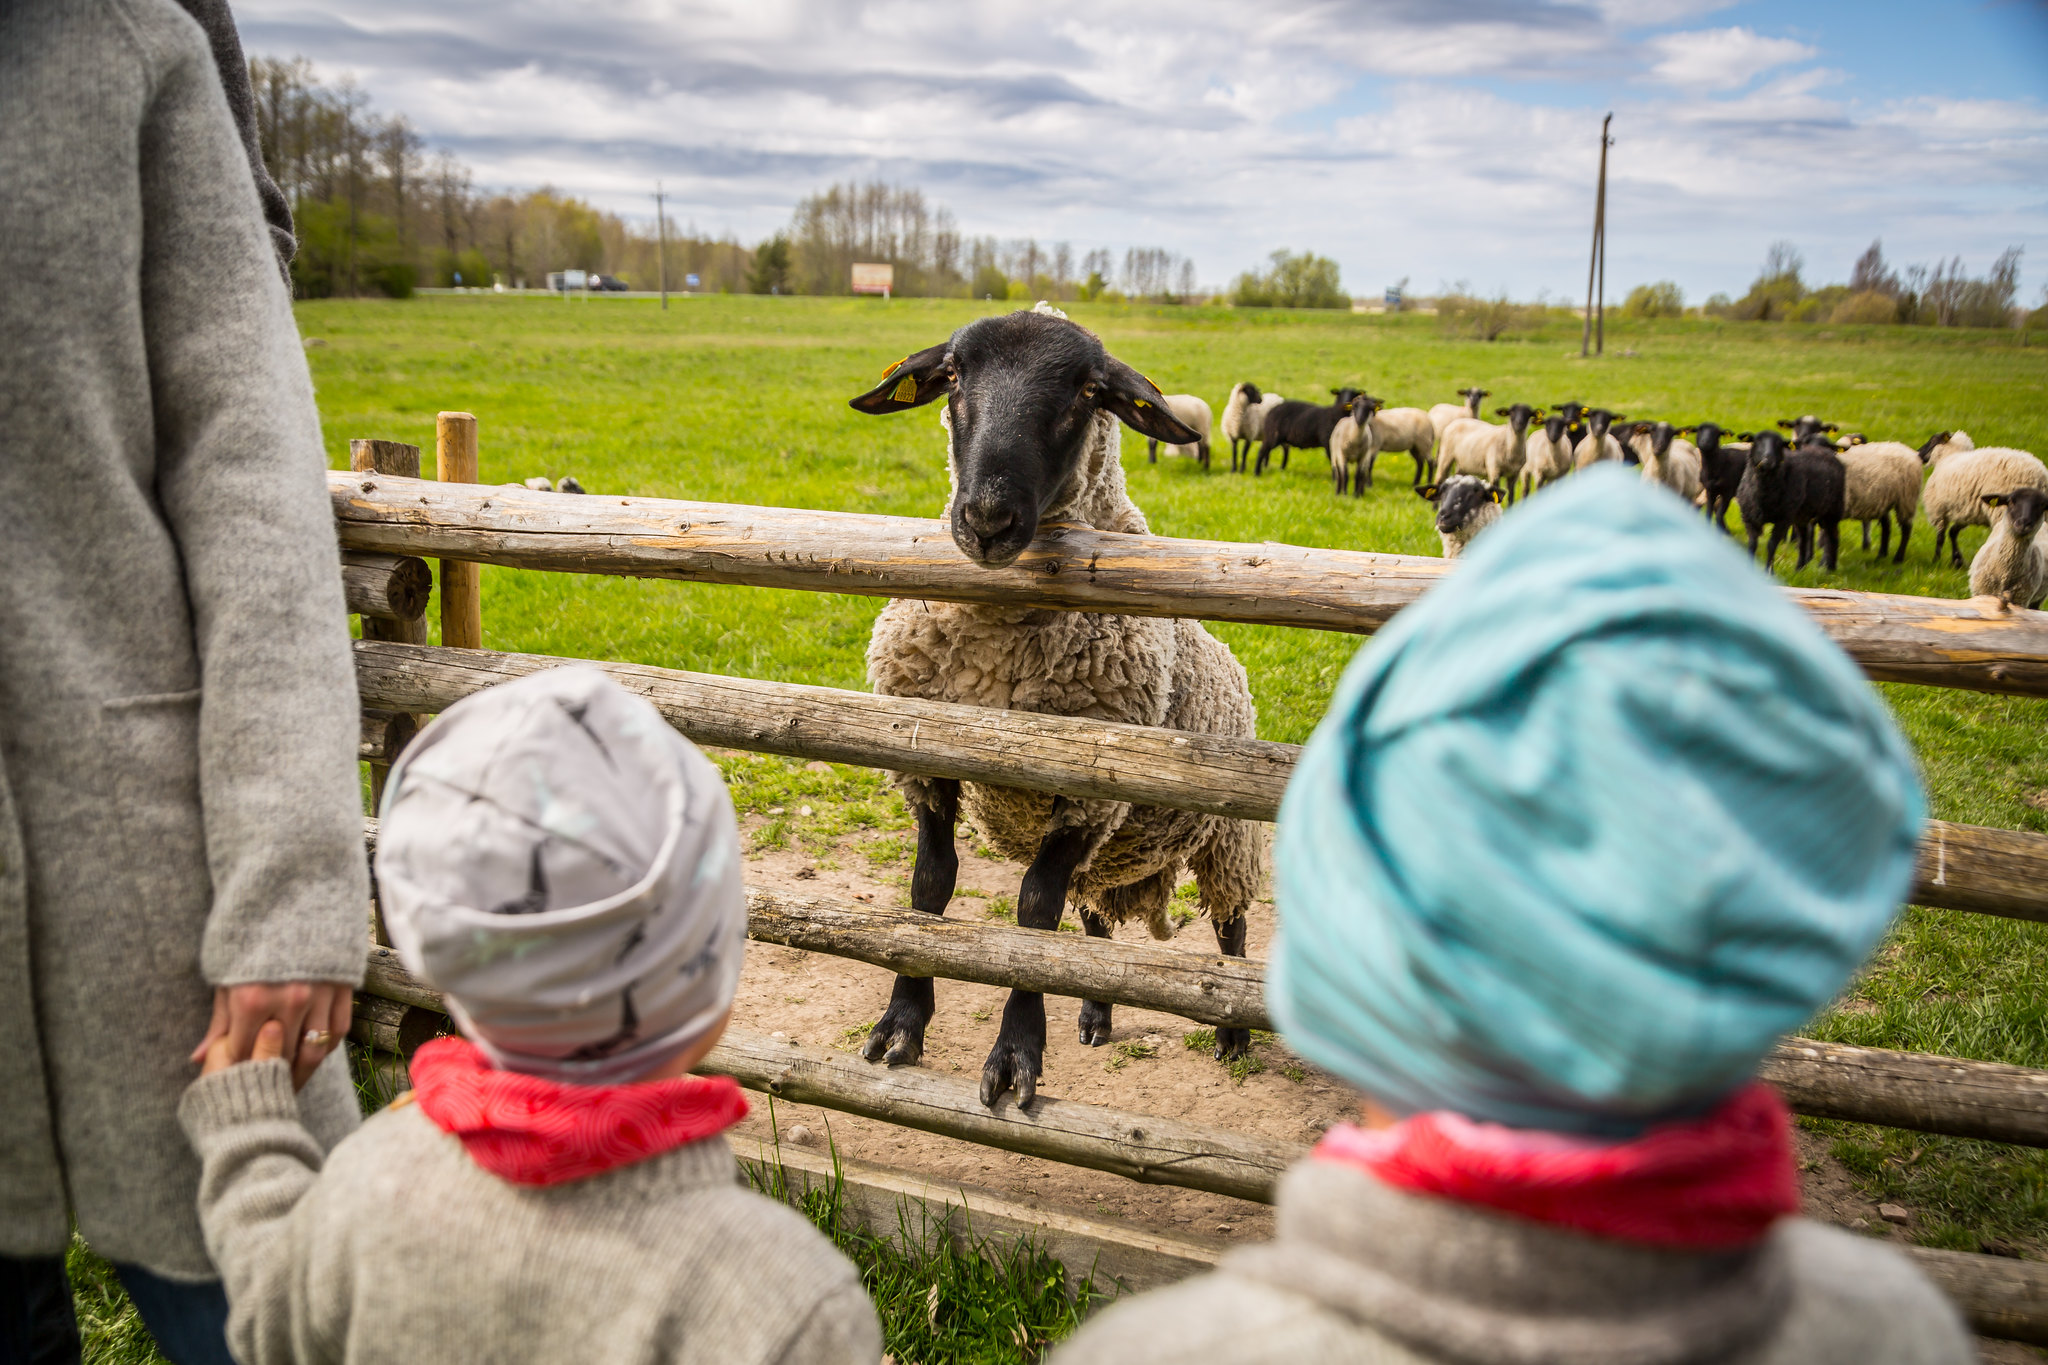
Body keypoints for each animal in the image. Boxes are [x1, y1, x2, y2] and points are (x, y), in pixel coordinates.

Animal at [835, 304, 1253, 1105]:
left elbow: (1032, 915)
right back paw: (1095, 1013)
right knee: (1093, 932)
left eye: (1089, 391)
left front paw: (1015, 1057)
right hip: (1114, 852)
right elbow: (929, 889)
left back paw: (1234, 1034)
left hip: (1226, 836)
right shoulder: (925, 761)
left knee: (1231, 928)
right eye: (953, 375)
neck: (995, 657)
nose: (987, 518)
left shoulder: (1084, 792)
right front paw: (901, 1024)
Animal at [1736, 431, 1851, 573]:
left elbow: (1771, 544)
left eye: (1779, 444)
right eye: (1757, 441)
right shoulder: (1749, 518)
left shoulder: (1783, 519)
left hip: (1832, 511)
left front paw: (1769, 571)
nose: (1768, 460)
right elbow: (1752, 544)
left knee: (1833, 536)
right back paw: (1800, 568)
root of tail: (1826, 451)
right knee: (1804, 537)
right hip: (1801, 514)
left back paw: (1830, 569)